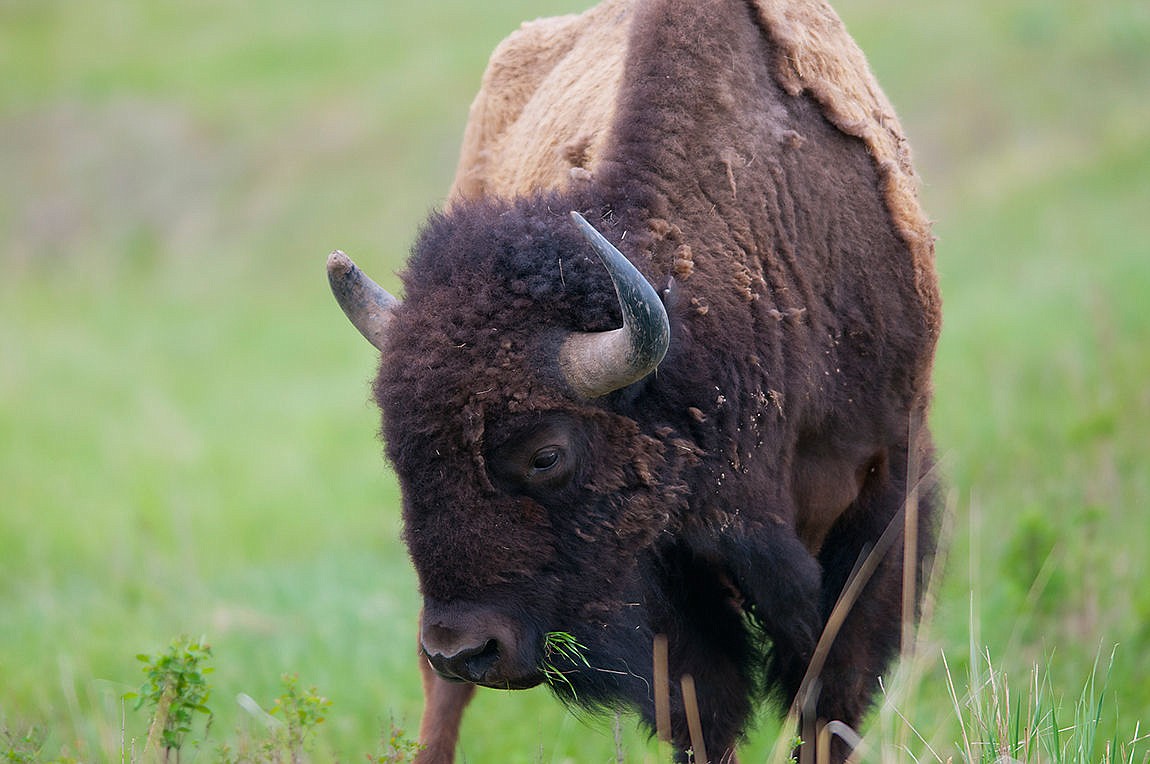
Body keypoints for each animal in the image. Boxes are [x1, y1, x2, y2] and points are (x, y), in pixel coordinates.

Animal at [328, 0, 938, 759]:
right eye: (400, 457)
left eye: (546, 454)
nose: (464, 648)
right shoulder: (668, 571)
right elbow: (706, 709)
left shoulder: (885, 487)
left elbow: (832, 693)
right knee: (442, 702)